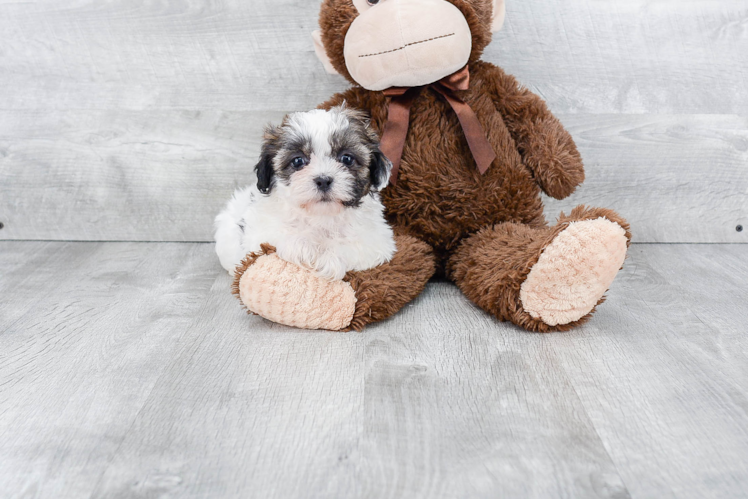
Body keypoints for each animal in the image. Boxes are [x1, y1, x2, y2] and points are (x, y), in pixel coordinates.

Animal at [215, 104, 398, 282]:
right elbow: (282, 236)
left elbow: (351, 246)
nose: (323, 180)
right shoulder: (261, 232)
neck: (321, 216)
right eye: (297, 161)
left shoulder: (378, 241)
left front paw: (329, 260)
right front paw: (306, 249)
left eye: (347, 158)